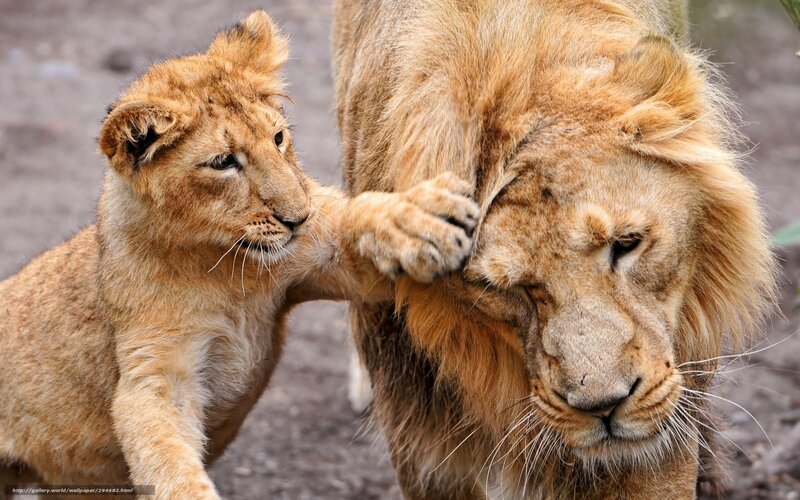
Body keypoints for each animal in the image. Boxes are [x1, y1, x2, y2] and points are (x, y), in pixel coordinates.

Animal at [0, 11, 480, 499]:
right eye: (223, 162)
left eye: (279, 137)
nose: (298, 218)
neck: (222, 268)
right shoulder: (153, 371)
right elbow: (168, 460)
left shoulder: (315, 264)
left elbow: (353, 217)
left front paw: (420, 219)